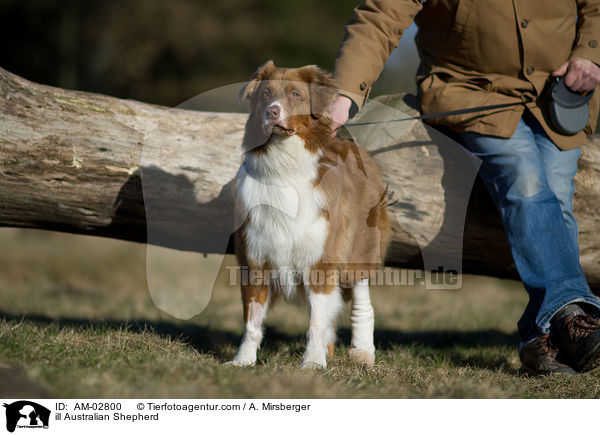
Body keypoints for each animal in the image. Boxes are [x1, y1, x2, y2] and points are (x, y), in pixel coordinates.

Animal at [229, 60, 390, 368]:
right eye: (265, 93)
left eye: (295, 94)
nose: (272, 112)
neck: (284, 168)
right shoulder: (255, 258)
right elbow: (252, 323)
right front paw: (243, 361)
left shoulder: (320, 260)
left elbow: (316, 321)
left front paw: (313, 363)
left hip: (359, 247)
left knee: (360, 293)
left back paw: (363, 351)